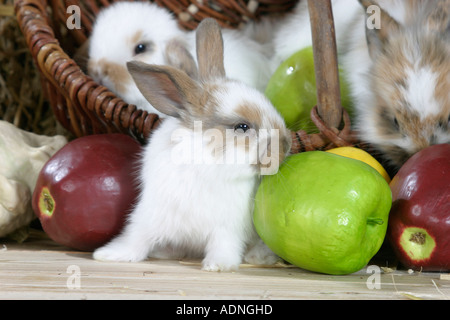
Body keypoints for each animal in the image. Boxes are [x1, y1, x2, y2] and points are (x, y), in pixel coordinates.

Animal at [94, 18, 292, 272]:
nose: (285, 145)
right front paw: (108, 255)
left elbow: (224, 246)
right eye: (242, 127)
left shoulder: (227, 228)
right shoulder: (149, 216)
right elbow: (135, 239)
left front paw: (218, 266)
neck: (208, 161)